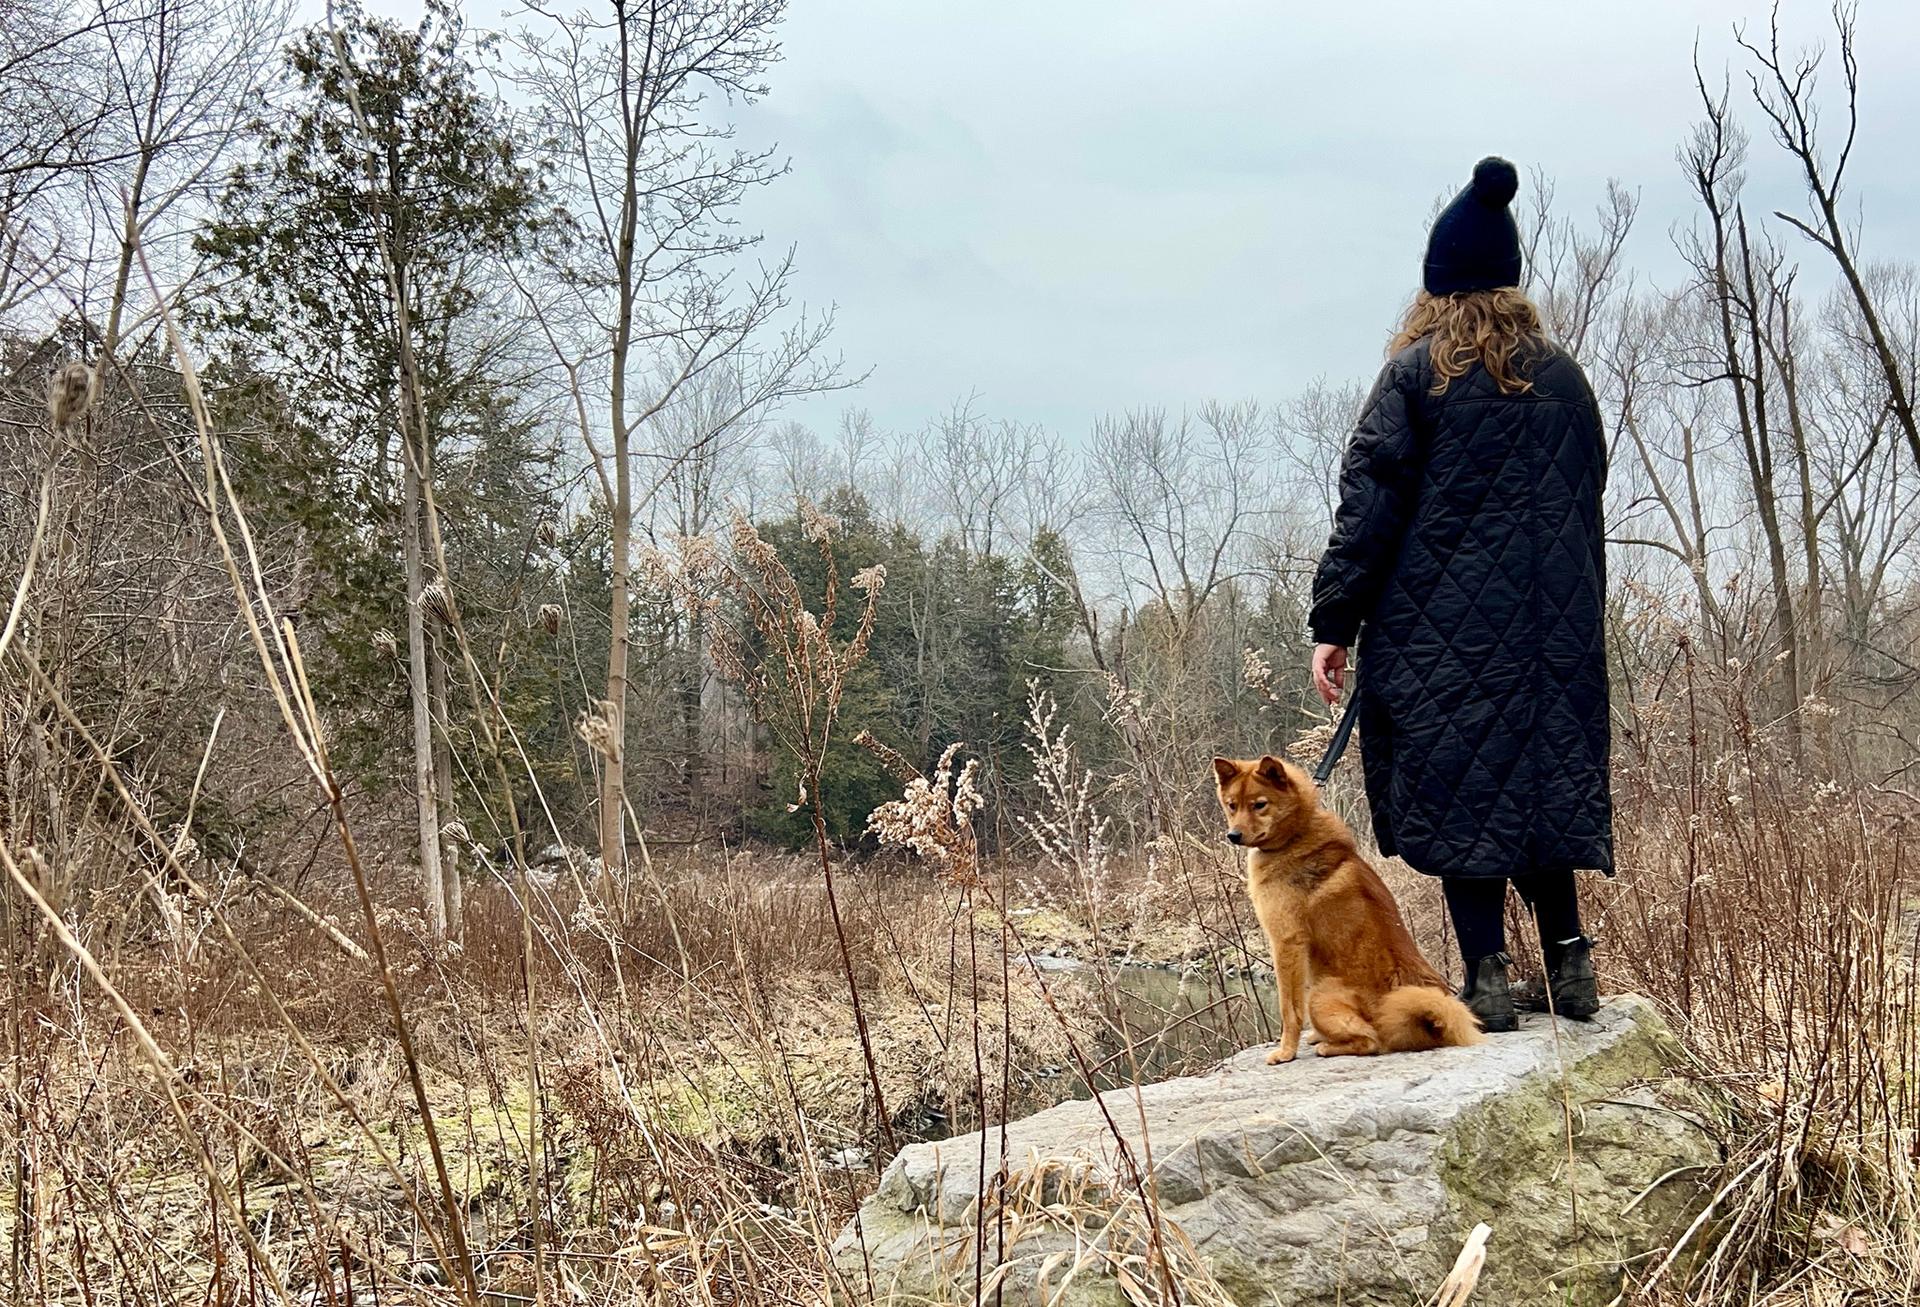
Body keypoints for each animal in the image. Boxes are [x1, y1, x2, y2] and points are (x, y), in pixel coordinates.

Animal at [1213, 756, 1482, 1059]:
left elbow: (1289, 1010)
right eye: (1232, 804)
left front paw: (1286, 1052)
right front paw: (1309, 1039)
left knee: (1371, 1040)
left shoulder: (1286, 943)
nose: (1233, 835)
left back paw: (1328, 1047)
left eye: (1259, 804)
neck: (1296, 835)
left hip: (1319, 995)